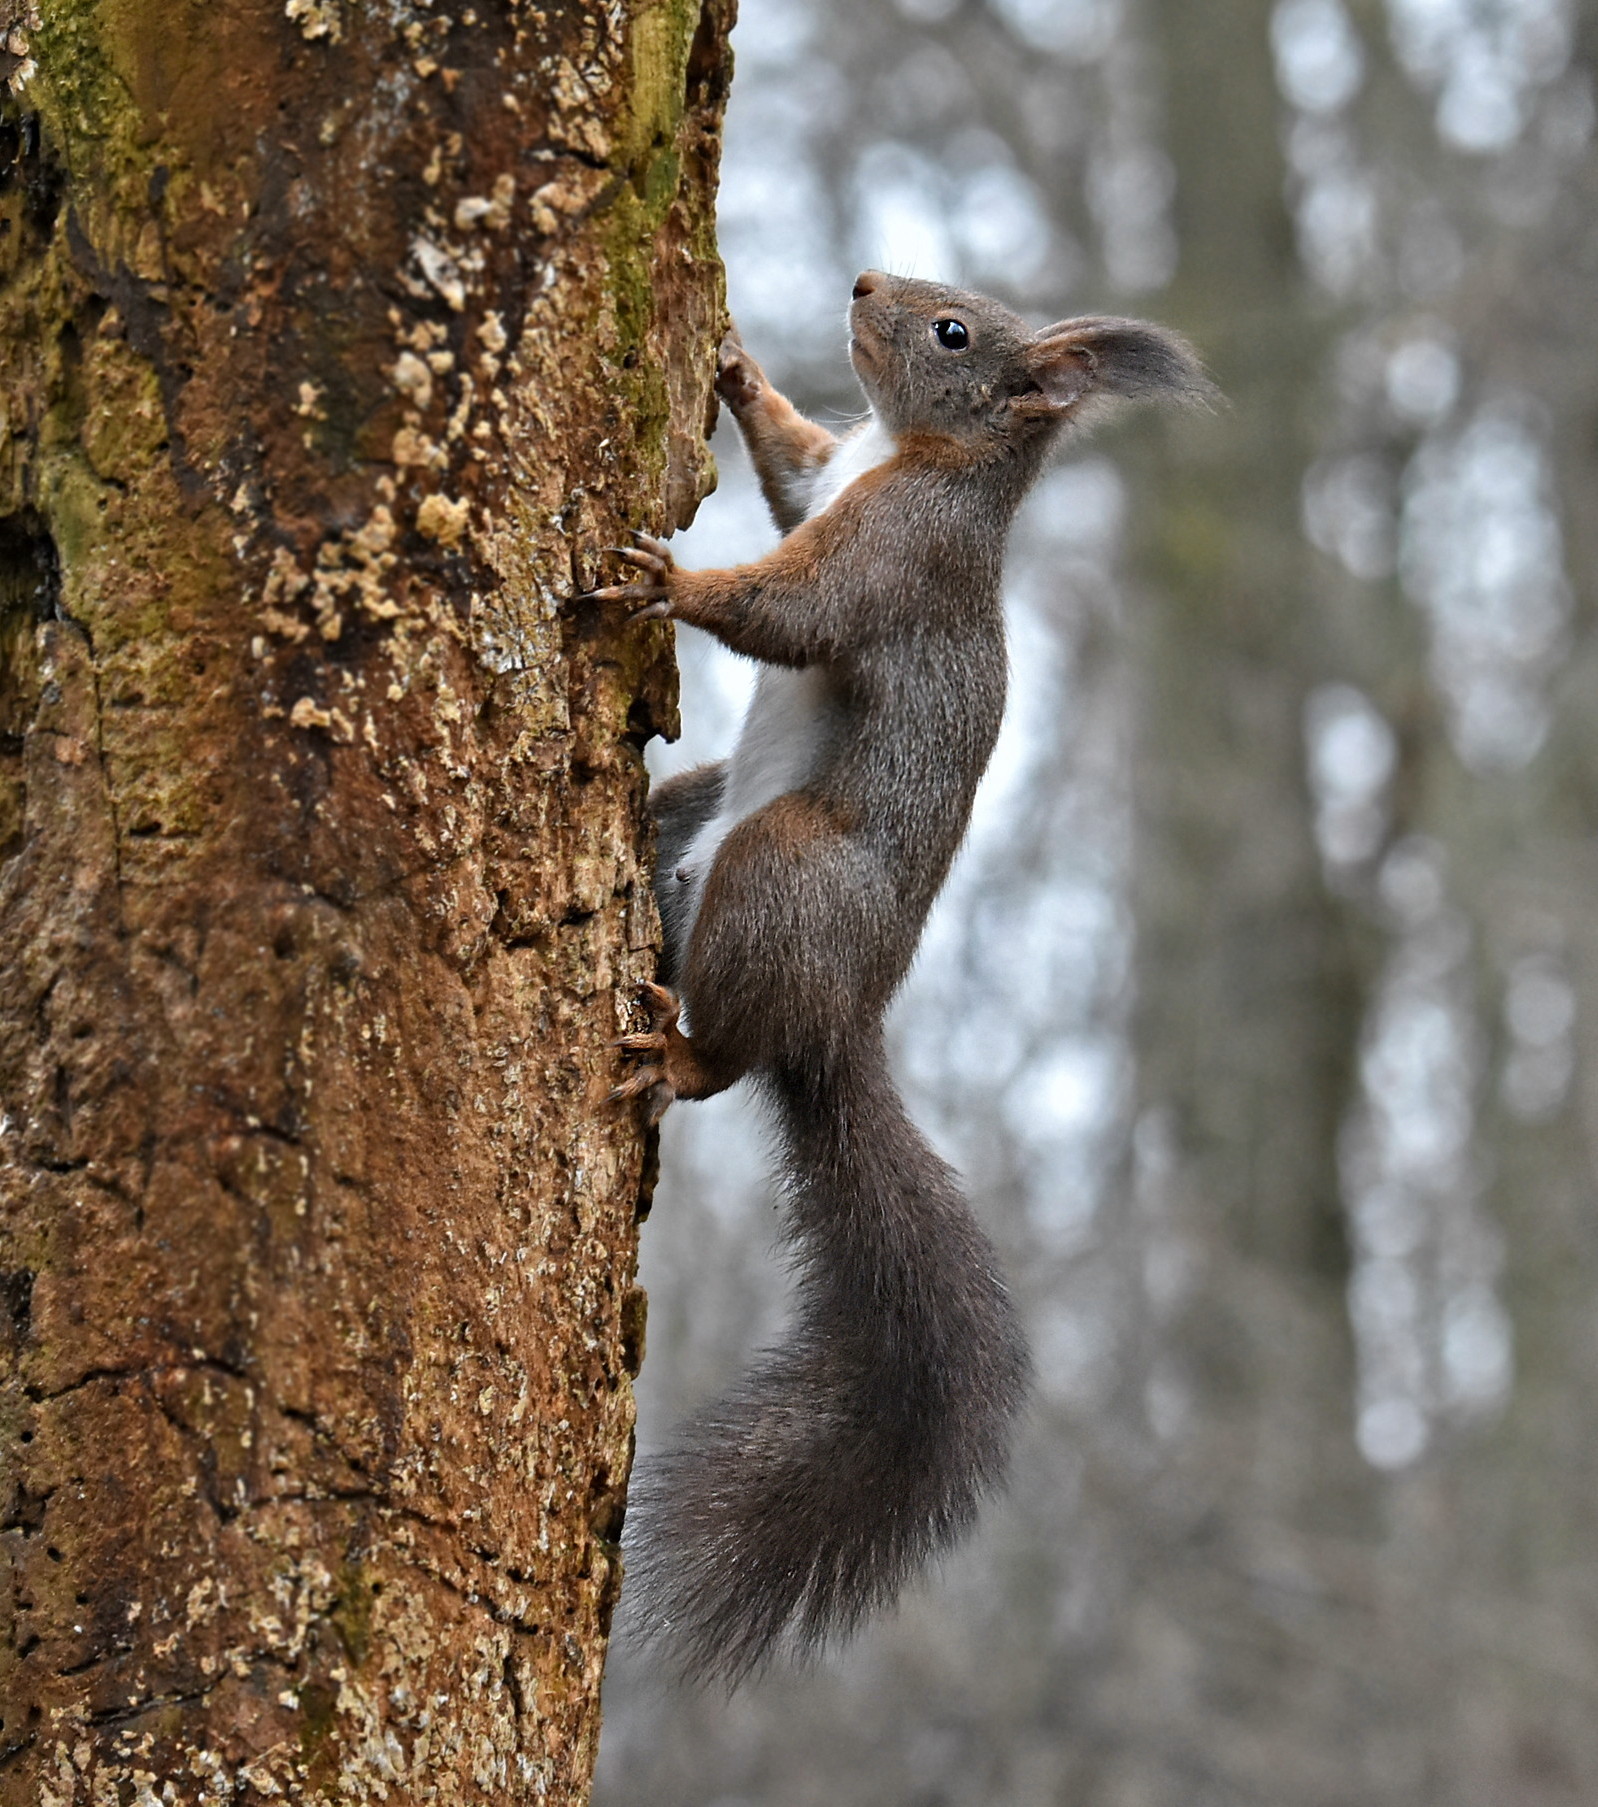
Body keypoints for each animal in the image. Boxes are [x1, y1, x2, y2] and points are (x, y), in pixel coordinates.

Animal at [583, 270, 1212, 1685]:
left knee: (731, 1055)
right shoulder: (831, 482)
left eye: (953, 334)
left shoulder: (894, 553)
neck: (914, 454)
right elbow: (789, 468)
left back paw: (681, 1053)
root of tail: (840, 1024)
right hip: (688, 812)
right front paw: (736, 370)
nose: (866, 282)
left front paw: (668, 576)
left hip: (780, 868)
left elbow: (788, 610)